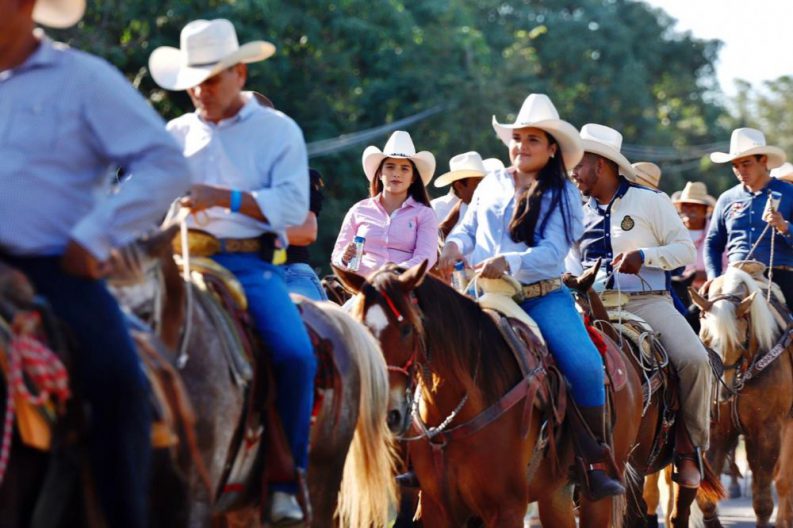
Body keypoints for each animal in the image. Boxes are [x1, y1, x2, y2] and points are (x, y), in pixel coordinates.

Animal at [335, 260, 644, 528]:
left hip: (600, 491)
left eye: (407, 328)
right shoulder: (439, 509)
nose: (386, 412)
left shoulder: (506, 508)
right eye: (360, 325)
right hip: (555, 493)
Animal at [690, 264, 793, 527]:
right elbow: (706, 501)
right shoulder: (716, 430)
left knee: (784, 481)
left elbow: (763, 502)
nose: (722, 395)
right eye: (705, 341)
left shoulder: (767, 432)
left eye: (739, 344)